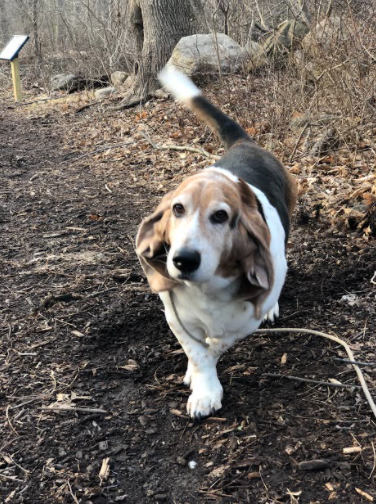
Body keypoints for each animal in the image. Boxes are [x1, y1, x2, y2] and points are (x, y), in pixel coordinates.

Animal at [137, 68, 298, 422]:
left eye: (221, 216)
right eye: (177, 209)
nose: (183, 260)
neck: (207, 288)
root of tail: (245, 142)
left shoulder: (243, 322)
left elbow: (214, 347)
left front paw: (205, 386)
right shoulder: (174, 315)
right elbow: (197, 351)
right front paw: (200, 382)